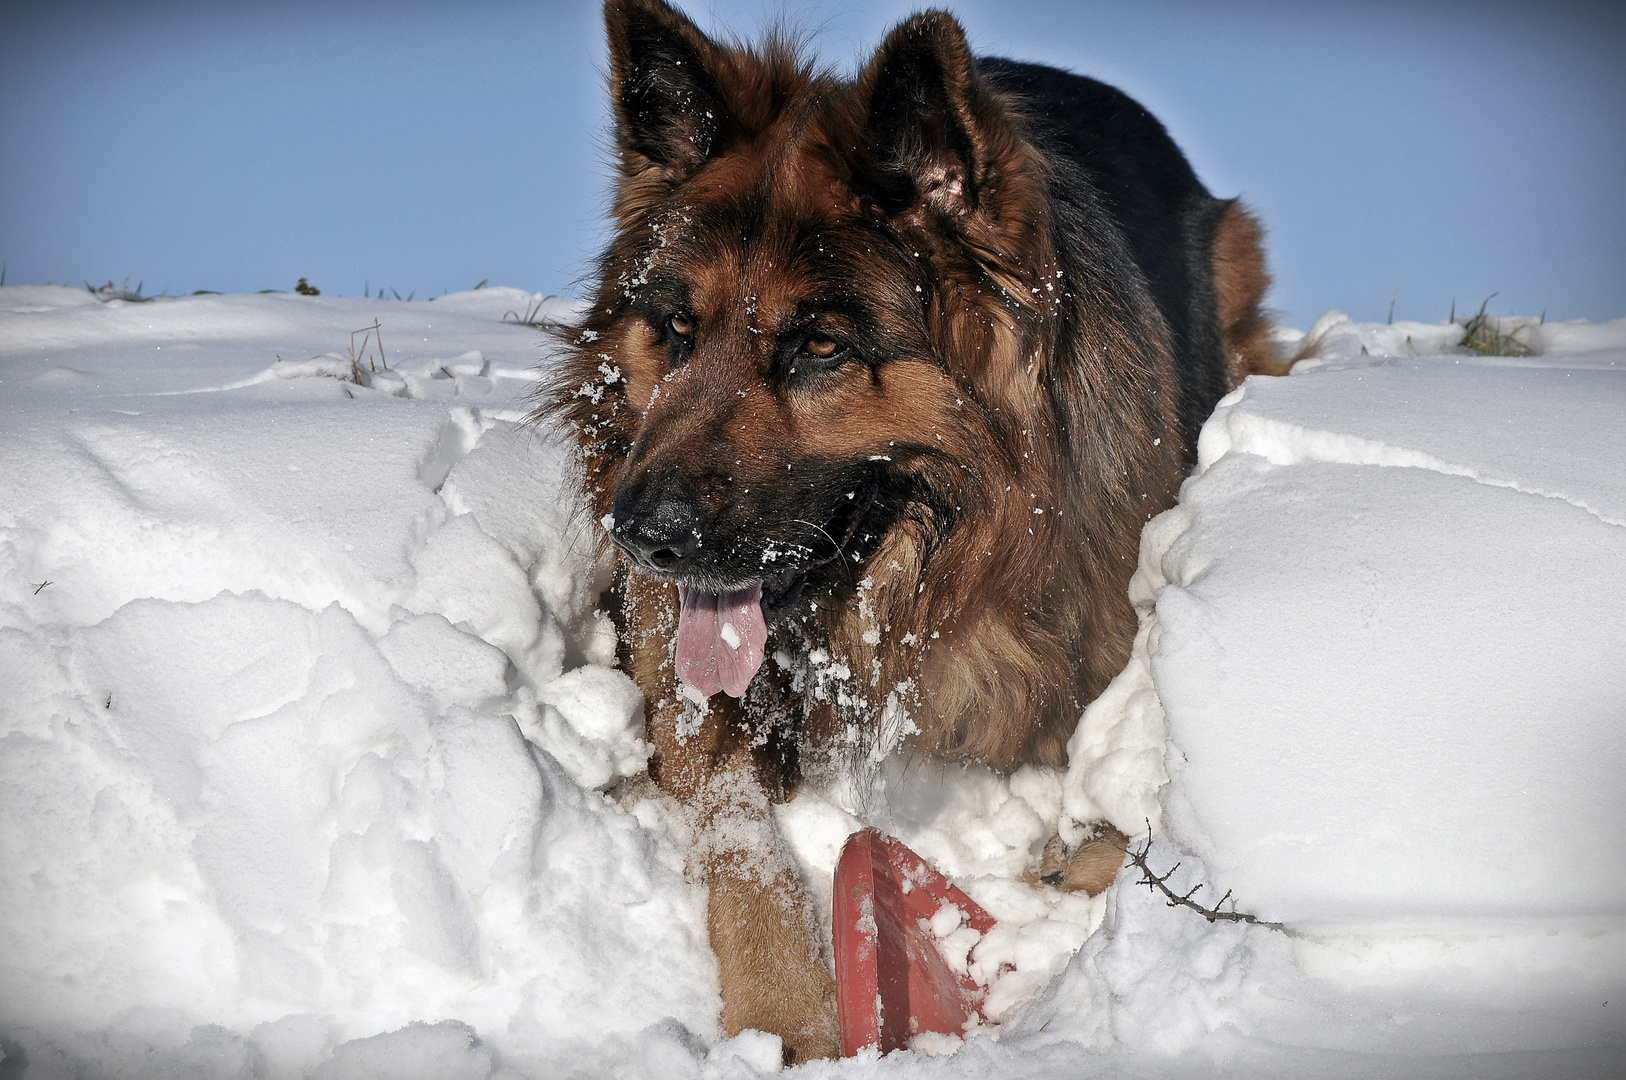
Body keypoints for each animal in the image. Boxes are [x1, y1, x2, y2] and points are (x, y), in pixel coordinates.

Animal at [546, 0, 1281, 1060]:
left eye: (819, 346)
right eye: (677, 328)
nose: (640, 533)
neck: (920, 580)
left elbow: (1124, 823)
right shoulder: (681, 679)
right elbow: (738, 833)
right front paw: (787, 1017)